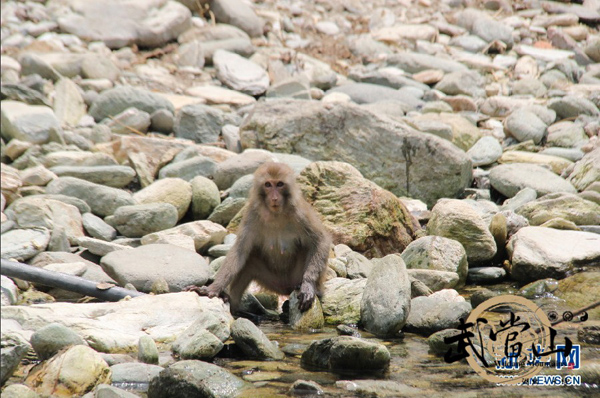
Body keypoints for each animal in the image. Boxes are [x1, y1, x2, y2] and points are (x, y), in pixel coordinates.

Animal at [186, 162, 330, 314]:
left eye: (279, 184)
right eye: (268, 185)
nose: (274, 197)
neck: (275, 213)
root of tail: (286, 289)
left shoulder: (300, 213)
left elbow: (321, 241)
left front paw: (308, 285)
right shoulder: (251, 213)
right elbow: (239, 251)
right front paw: (212, 288)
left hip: (295, 278)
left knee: (307, 249)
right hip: (274, 282)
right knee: (249, 262)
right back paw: (234, 307)